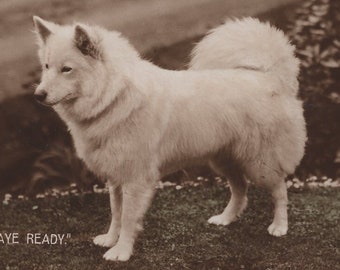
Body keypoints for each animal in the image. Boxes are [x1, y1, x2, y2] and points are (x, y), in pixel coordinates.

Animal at [33, 15, 306, 260]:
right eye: (46, 66)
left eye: (66, 69)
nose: (38, 95)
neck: (114, 95)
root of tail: (270, 77)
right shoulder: (116, 177)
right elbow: (116, 213)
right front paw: (110, 239)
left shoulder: (135, 179)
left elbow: (128, 218)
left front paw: (121, 251)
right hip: (224, 159)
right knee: (240, 190)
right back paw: (225, 218)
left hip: (261, 163)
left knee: (280, 190)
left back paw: (279, 226)